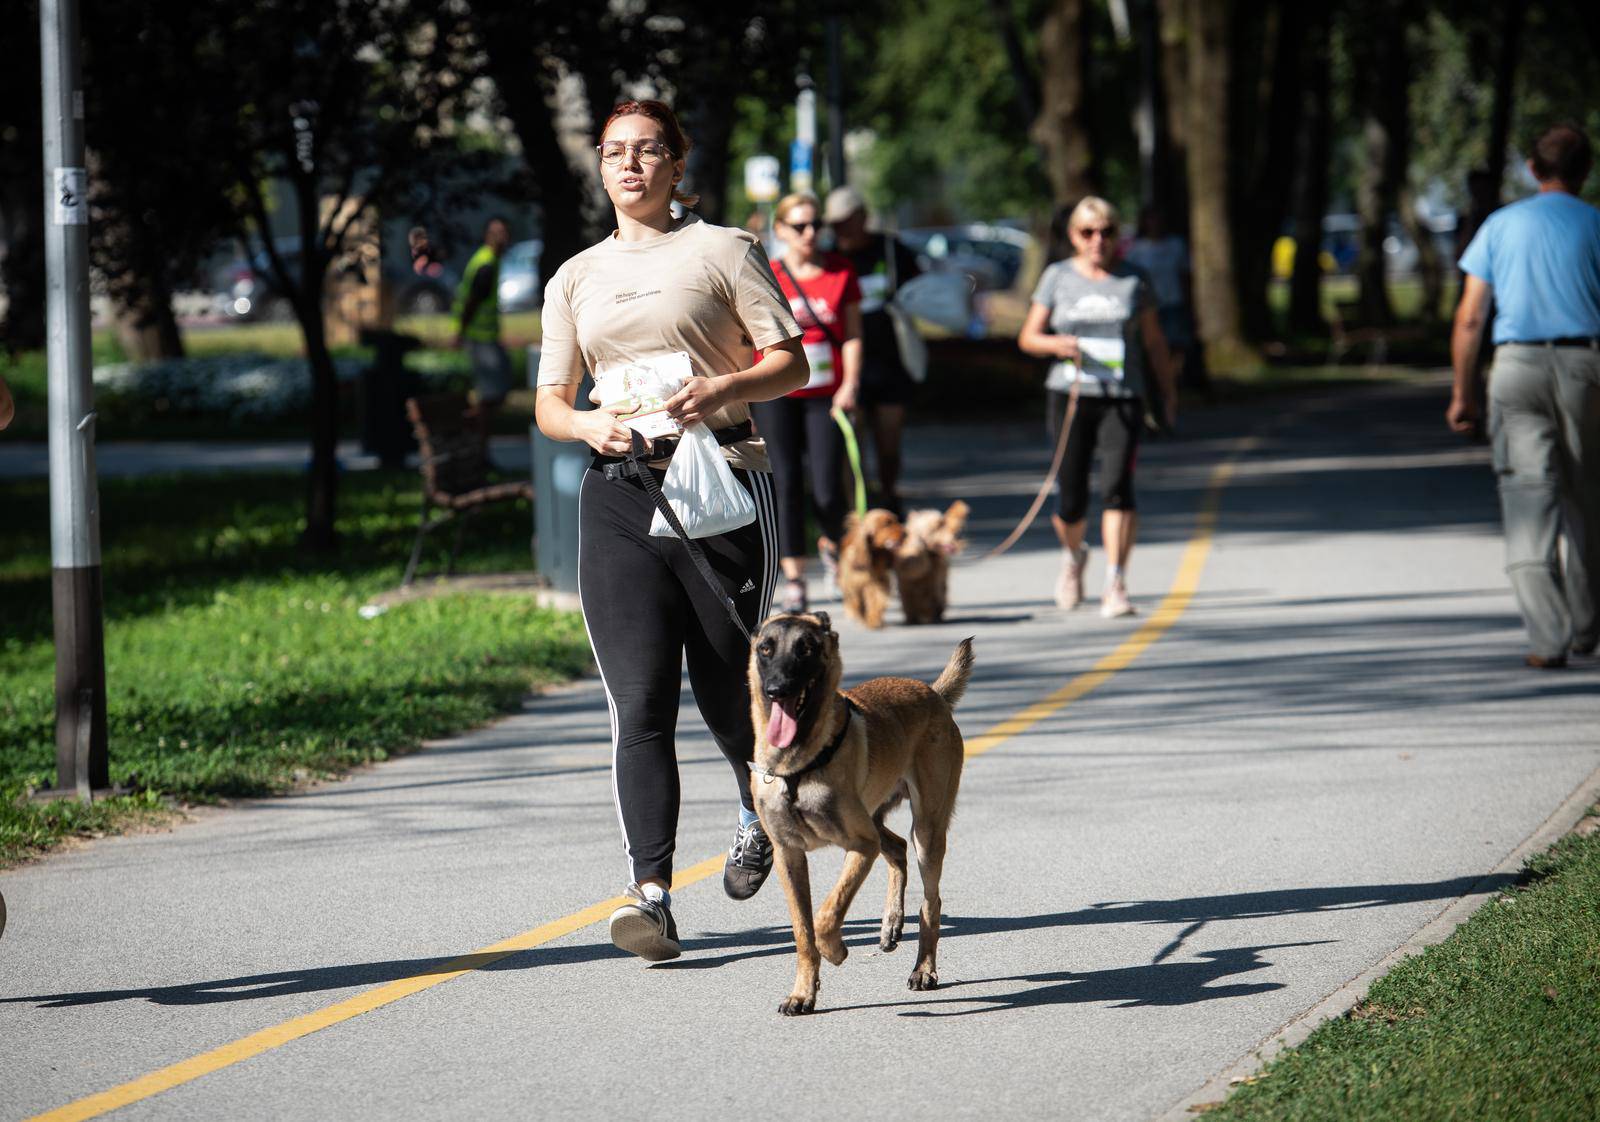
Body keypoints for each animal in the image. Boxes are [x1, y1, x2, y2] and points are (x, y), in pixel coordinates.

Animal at [748, 611, 972, 1017]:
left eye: (806, 649)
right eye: (766, 649)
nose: (777, 689)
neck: (799, 765)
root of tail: (932, 693)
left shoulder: (860, 845)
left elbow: (825, 916)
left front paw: (835, 950)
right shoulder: (790, 857)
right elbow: (802, 931)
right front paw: (803, 993)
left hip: (926, 831)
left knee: (930, 901)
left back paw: (923, 969)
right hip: (878, 820)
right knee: (897, 849)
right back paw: (890, 925)